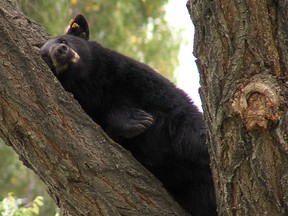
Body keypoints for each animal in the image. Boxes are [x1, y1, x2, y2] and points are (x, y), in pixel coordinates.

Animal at [40, 14, 216, 215]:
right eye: (45, 57)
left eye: (63, 40)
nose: (60, 51)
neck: (92, 83)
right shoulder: (91, 106)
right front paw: (137, 121)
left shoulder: (136, 79)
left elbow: (183, 119)